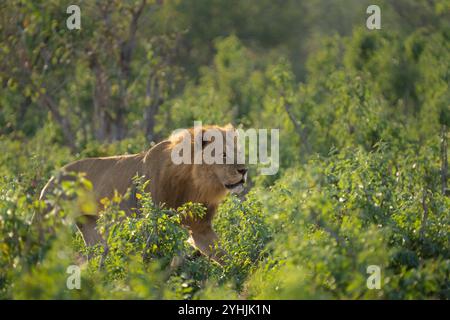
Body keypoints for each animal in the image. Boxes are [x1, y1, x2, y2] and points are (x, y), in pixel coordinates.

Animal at [38, 125, 248, 264]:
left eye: (238, 152)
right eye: (223, 155)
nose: (244, 170)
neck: (194, 183)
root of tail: (51, 178)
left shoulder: (200, 227)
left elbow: (224, 255)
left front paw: (241, 277)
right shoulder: (151, 225)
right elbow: (152, 256)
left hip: (90, 226)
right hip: (49, 224)